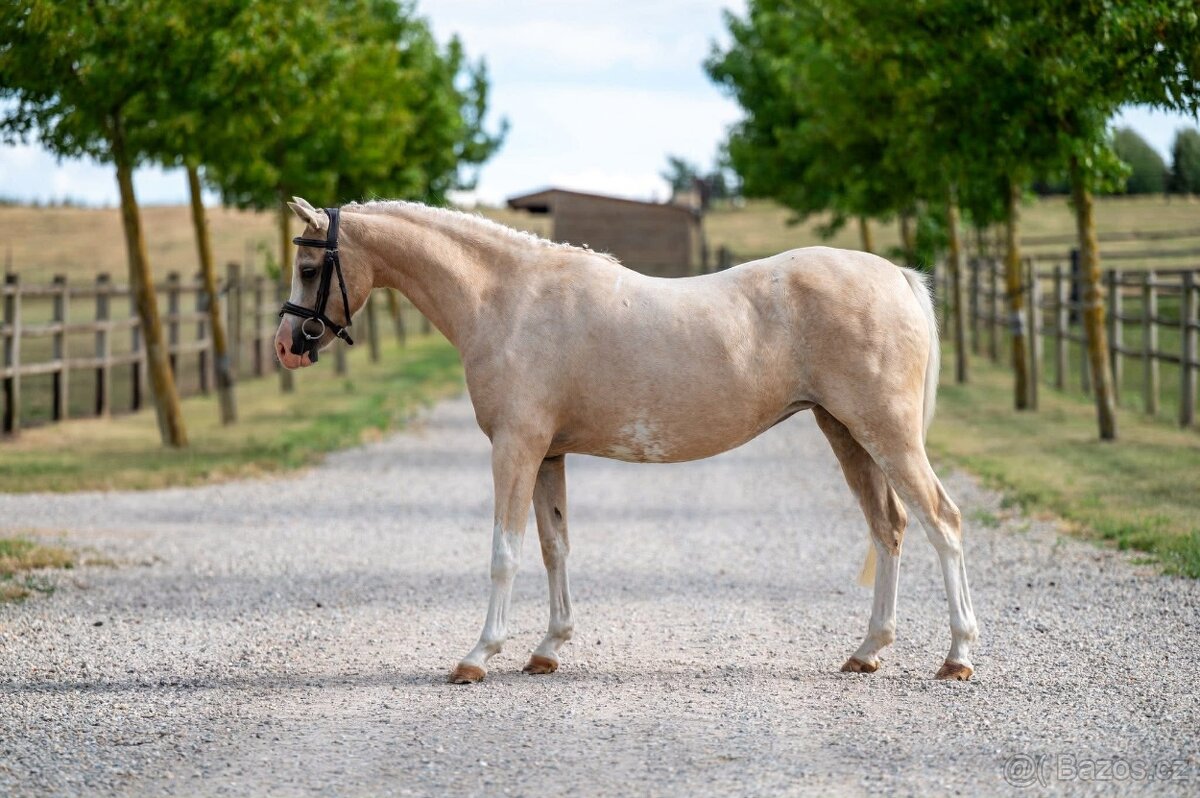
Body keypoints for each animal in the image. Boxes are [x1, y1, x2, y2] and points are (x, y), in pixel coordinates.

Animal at [275, 197, 979, 684]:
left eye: (309, 266)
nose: (286, 346)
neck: (507, 298)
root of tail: (898, 277)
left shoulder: (514, 448)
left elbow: (505, 552)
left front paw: (477, 656)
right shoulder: (548, 454)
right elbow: (555, 547)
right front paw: (547, 649)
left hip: (885, 435)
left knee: (942, 521)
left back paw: (957, 657)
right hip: (846, 432)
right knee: (889, 528)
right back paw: (868, 652)